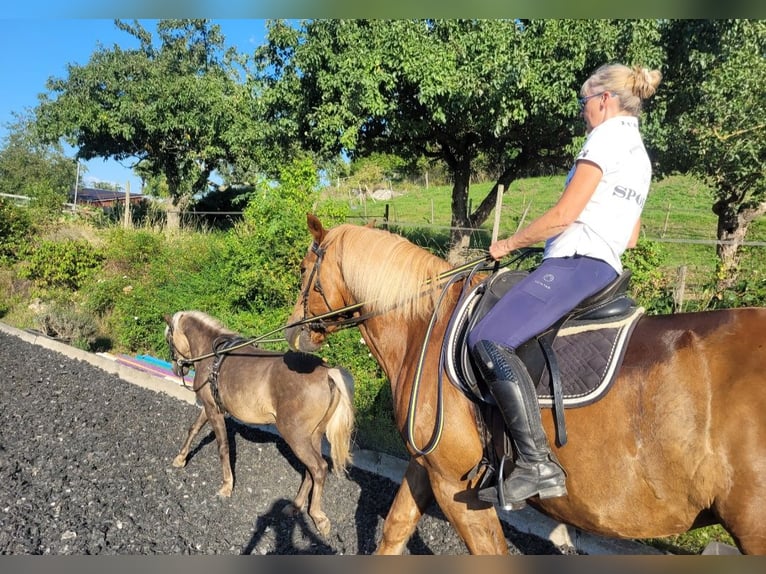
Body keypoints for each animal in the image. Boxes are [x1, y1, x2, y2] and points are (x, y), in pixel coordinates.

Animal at [164, 310, 355, 537]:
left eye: (169, 339)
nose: (177, 368)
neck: (212, 356)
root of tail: (327, 373)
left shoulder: (214, 411)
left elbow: (223, 447)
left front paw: (227, 486)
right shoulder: (210, 406)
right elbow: (193, 429)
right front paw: (180, 458)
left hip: (295, 435)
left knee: (318, 468)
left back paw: (317, 516)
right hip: (313, 435)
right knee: (312, 470)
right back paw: (294, 506)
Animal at [283, 214, 766, 555]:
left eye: (305, 269)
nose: (293, 332)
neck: (426, 326)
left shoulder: (455, 486)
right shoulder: (428, 466)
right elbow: (395, 529)